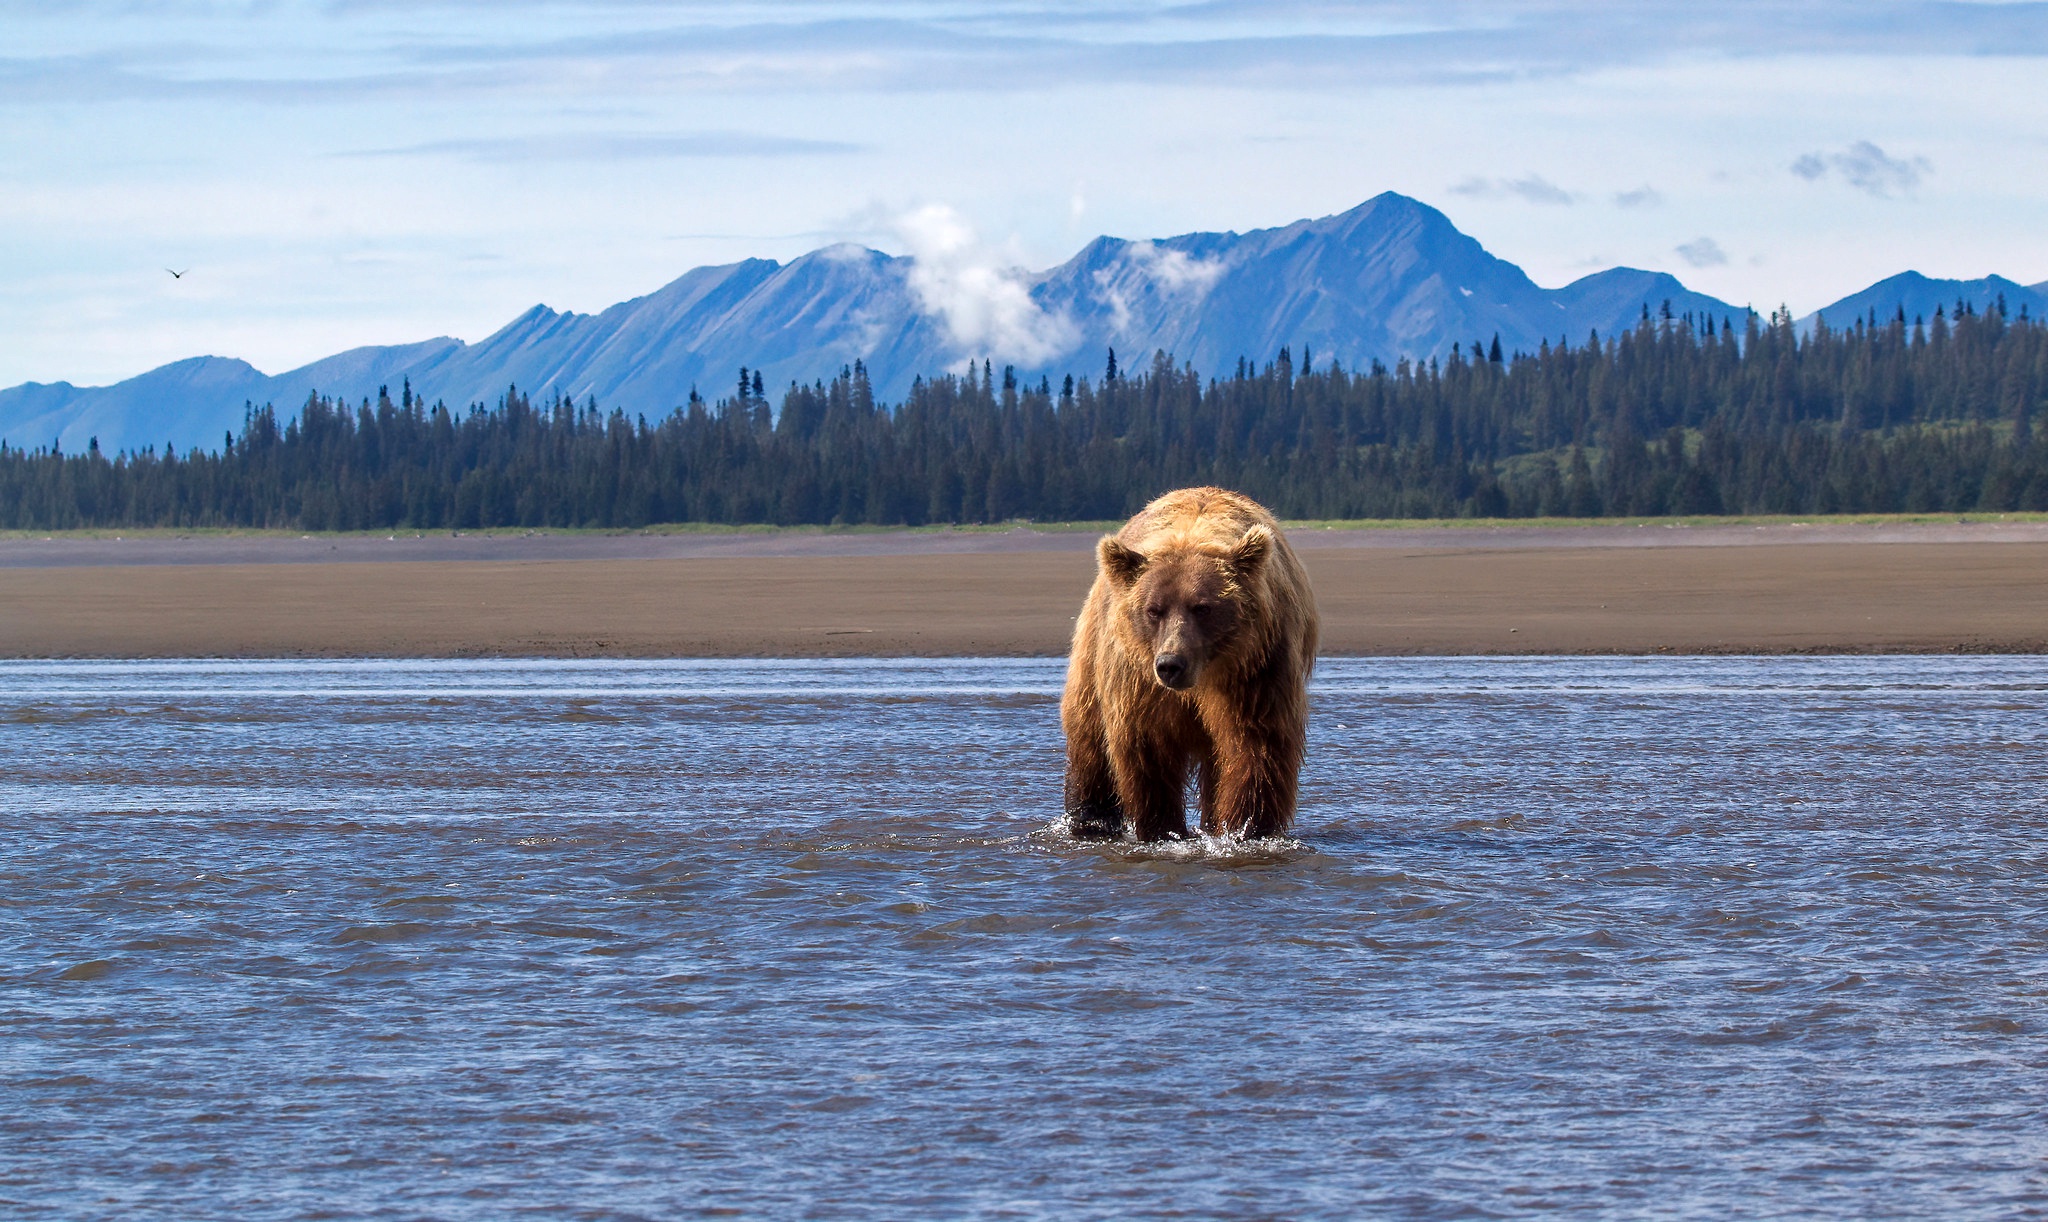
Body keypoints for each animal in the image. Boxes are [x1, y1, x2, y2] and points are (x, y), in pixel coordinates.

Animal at [1064, 485, 1318, 839]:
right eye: (1153, 609)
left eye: (1203, 607)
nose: (1171, 664)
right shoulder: (1139, 681)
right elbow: (1149, 748)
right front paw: (1163, 830)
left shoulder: (1256, 668)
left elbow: (1256, 746)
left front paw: (1247, 829)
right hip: (1092, 654)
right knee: (1090, 742)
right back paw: (1090, 819)